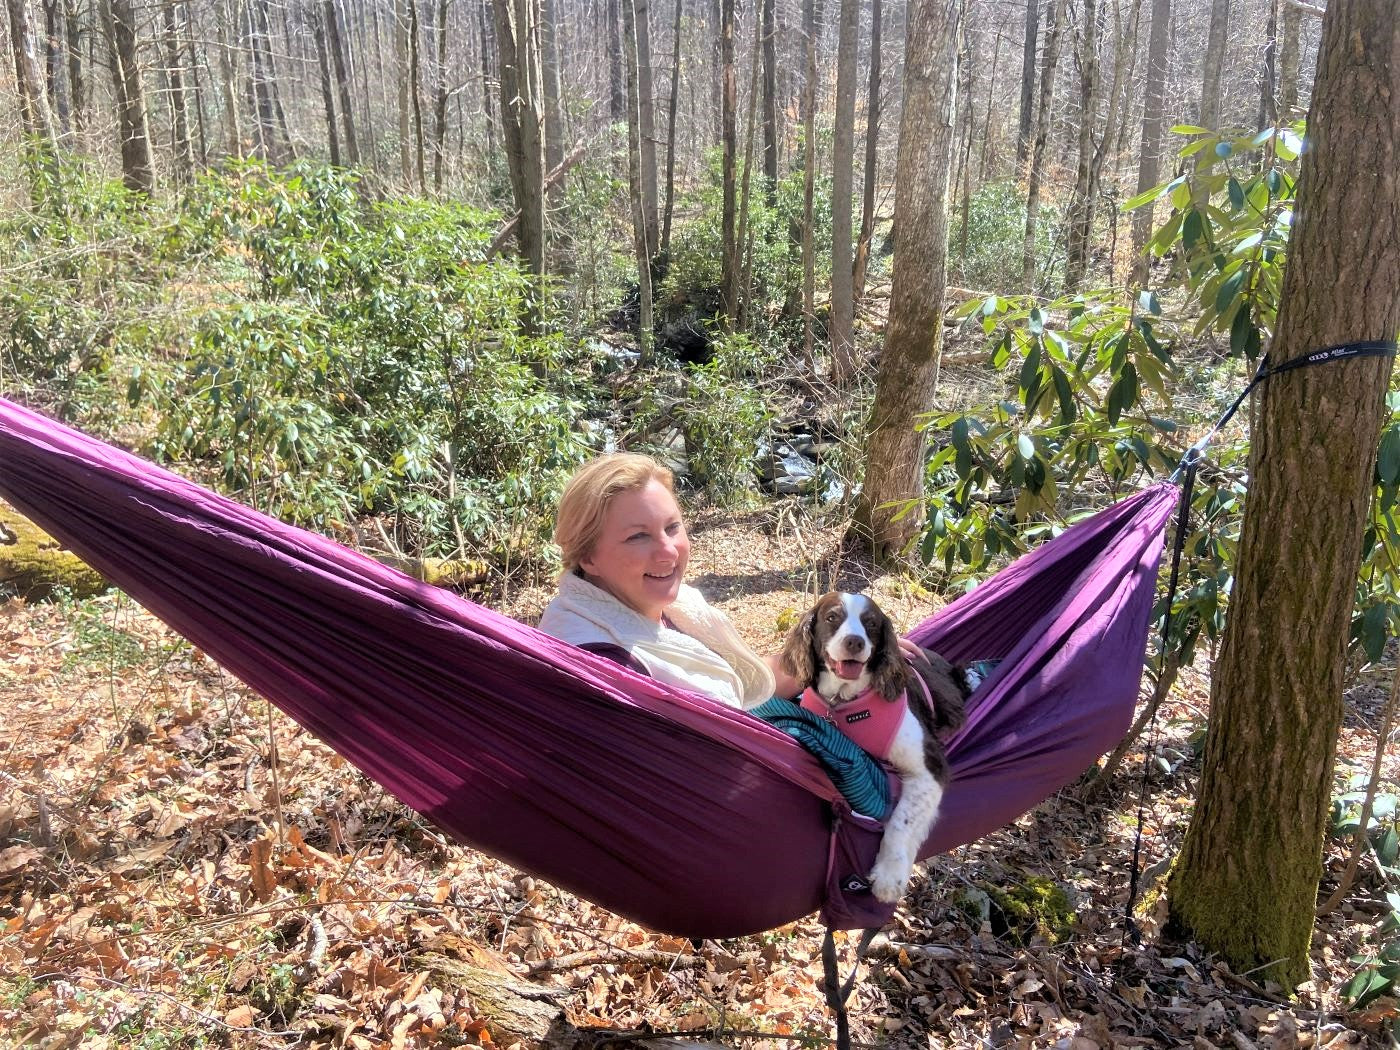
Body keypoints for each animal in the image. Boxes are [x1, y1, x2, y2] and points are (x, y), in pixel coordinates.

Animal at [784, 593, 968, 907]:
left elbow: (901, 821)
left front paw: (889, 876)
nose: (855, 642)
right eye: (832, 617)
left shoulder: (930, 768)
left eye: (870, 623)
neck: (843, 701)